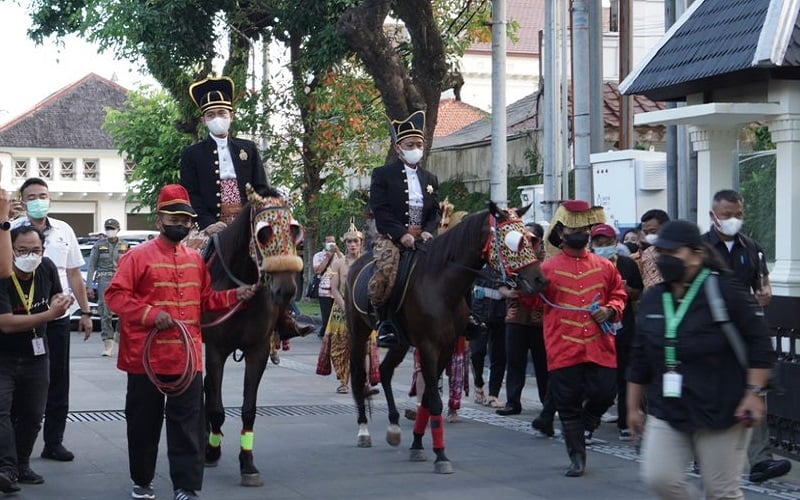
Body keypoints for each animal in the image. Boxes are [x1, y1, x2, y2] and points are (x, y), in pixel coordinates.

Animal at [200, 186, 304, 486]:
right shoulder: (215, 349)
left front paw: (247, 463)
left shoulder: (258, 351)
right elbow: (217, 407)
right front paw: (212, 450)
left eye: (294, 230)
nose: (286, 289)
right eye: (264, 232)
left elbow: (248, 408)